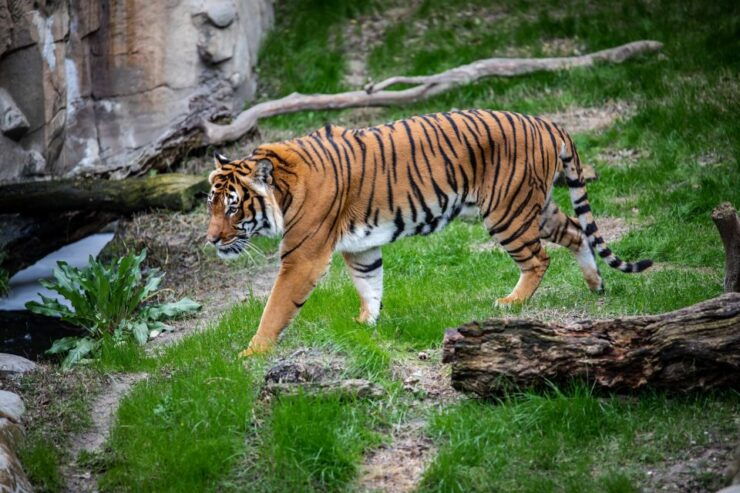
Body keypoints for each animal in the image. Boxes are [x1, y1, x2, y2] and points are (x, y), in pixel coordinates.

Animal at [205, 110, 652, 356]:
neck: (282, 189)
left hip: (506, 212)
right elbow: (370, 284)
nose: (211, 239)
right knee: (577, 231)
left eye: (232, 206)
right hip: (535, 207)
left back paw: (512, 302)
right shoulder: (360, 248)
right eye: (210, 203)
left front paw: (252, 353)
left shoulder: (303, 257)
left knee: (539, 257)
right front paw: (366, 324)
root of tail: (545, 121)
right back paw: (595, 285)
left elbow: (276, 307)